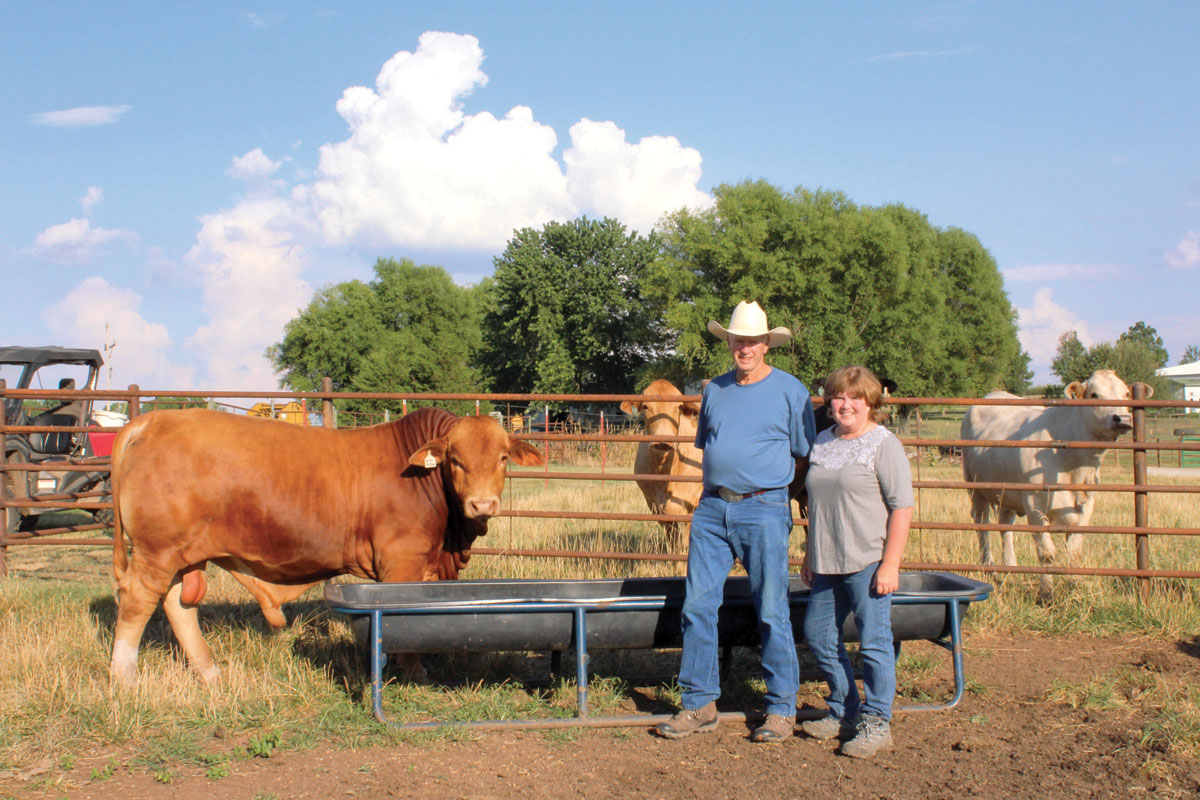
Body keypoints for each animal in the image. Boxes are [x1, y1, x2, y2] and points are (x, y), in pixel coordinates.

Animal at [108, 406, 543, 687]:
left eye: (503, 458)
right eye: (455, 460)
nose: (482, 505)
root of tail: (154, 418)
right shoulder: (401, 561)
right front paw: (413, 669)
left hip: (179, 555)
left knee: (178, 606)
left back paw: (209, 673)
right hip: (157, 552)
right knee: (136, 601)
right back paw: (123, 676)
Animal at [620, 380, 704, 552]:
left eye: (678, 407)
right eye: (646, 406)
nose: (663, 441)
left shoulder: (694, 505)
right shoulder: (656, 507)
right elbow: (674, 544)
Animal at [961, 369, 1146, 599]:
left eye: (1126, 394)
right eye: (1094, 394)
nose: (1124, 419)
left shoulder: (1087, 504)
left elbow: (1075, 552)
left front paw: (1075, 586)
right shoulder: (1034, 506)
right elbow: (1047, 554)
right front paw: (1046, 593)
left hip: (1007, 493)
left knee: (1005, 527)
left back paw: (1010, 569)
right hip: (975, 488)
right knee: (982, 525)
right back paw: (989, 567)